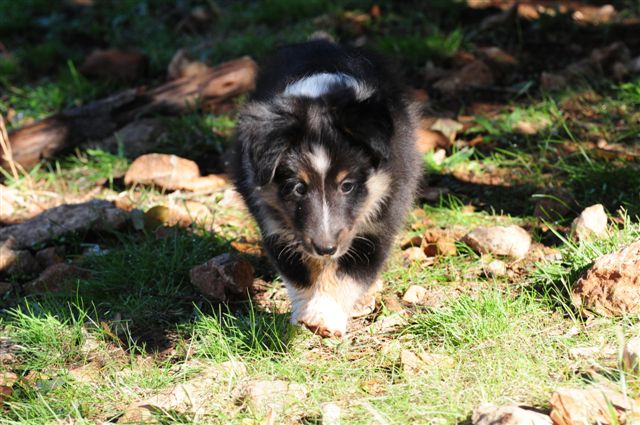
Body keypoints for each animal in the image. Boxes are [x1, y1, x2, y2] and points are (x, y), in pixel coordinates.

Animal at [232, 40, 422, 338]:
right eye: (298, 188)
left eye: (347, 186)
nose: (326, 248)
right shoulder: (275, 221)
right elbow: (300, 270)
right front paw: (308, 314)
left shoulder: (380, 219)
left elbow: (350, 273)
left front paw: (325, 317)